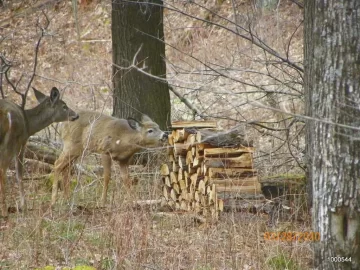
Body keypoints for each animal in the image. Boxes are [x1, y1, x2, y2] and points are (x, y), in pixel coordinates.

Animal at [0, 86, 79, 217]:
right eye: (64, 106)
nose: (76, 115)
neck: (28, 125)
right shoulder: (22, 142)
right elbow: (19, 174)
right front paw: (24, 206)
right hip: (10, 141)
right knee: (2, 170)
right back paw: (4, 211)